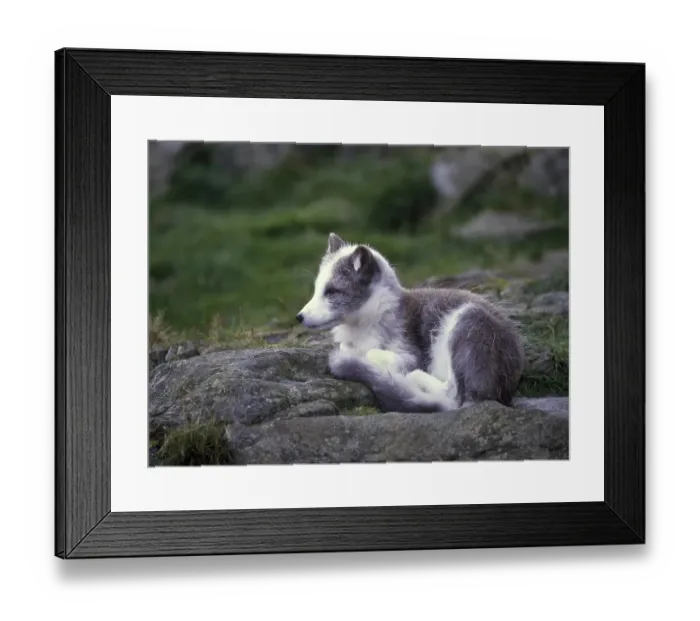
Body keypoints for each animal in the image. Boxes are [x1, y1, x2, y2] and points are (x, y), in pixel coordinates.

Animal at [296, 233, 525, 414]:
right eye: (317, 289)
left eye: (332, 291)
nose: (299, 317)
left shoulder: (412, 355)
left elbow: (370, 352)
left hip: (468, 319)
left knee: (451, 397)